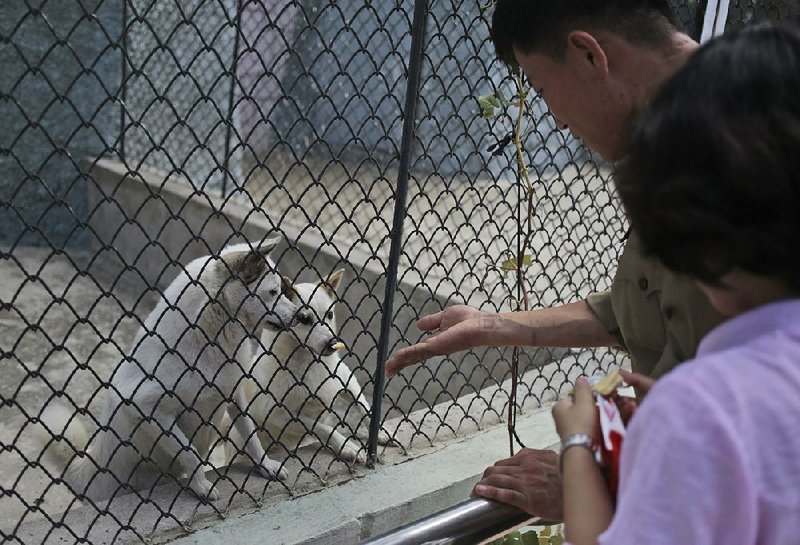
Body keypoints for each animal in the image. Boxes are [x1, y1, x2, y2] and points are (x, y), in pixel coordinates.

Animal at [39, 236, 298, 500]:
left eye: (281, 289)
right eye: (273, 292)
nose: (299, 315)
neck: (208, 336)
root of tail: (88, 466)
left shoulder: (234, 394)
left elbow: (251, 434)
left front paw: (266, 465)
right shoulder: (147, 407)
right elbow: (189, 453)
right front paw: (201, 486)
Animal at [230, 268, 392, 464]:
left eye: (330, 315)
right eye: (304, 319)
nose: (332, 343)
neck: (309, 363)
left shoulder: (347, 380)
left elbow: (364, 407)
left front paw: (380, 431)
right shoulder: (281, 415)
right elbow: (323, 428)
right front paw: (346, 446)